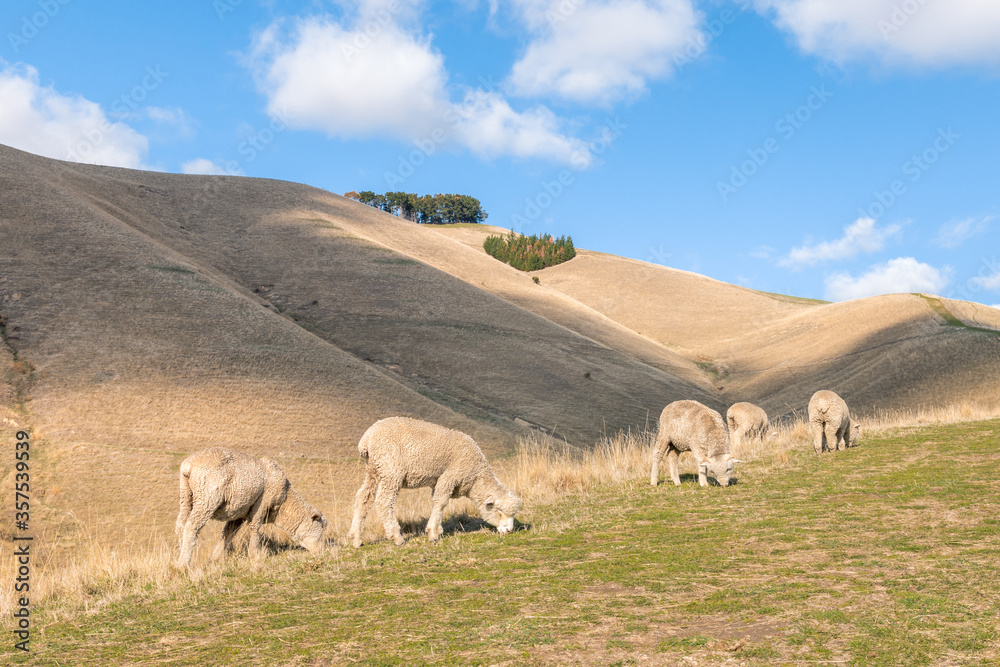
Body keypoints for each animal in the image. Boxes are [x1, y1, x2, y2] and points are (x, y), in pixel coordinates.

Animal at [175, 448, 327, 566]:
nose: (322, 550)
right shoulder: (261, 504)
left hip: (186, 495)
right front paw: (254, 555)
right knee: (192, 526)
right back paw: (184, 564)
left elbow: (228, 533)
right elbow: (255, 527)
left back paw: (180, 557)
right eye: (320, 528)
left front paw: (215, 558)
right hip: (207, 497)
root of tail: (189, 465)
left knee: (181, 524)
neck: (284, 504)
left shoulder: (239, 512)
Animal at [347, 417, 521, 547]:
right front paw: (432, 533)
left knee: (363, 498)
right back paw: (396, 537)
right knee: (384, 501)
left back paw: (356, 538)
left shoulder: (438, 480)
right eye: (499, 511)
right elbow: (441, 502)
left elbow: (437, 502)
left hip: (374, 469)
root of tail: (366, 439)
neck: (475, 476)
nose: (509, 531)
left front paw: (438, 529)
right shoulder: (450, 476)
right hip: (391, 469)